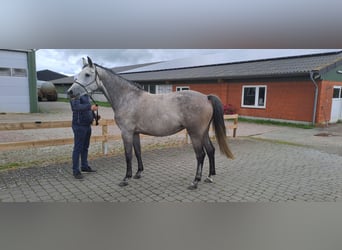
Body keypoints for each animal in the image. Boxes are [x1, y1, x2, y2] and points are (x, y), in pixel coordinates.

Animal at [69, 57, 235, 189]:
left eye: (87, 74)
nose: (70, 92)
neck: (127, 98)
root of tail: (206, 97)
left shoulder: (126, 132)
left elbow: (128, 155)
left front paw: (126, 178)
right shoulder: (135, 133)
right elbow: (137, 152)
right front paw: (138, 173)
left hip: (195, 133)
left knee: (200, 155)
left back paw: (195, 181)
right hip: (203, 132)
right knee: (211, 150)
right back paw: (209, 177)